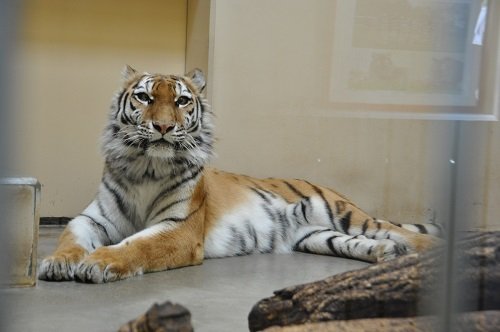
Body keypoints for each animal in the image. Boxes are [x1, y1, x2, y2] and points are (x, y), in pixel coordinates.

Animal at [37, 67, 442, 282]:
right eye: (145, 97)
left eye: (182, 101)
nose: (164, 127)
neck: (145, 168)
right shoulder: (94, 218)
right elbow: (70, 237)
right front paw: (59, 262)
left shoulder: (179, 229)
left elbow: (138, 245)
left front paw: (99, 262)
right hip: (317, 236)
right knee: (364, 242)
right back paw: (388, 253)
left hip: (345, 214)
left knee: (403, 233)